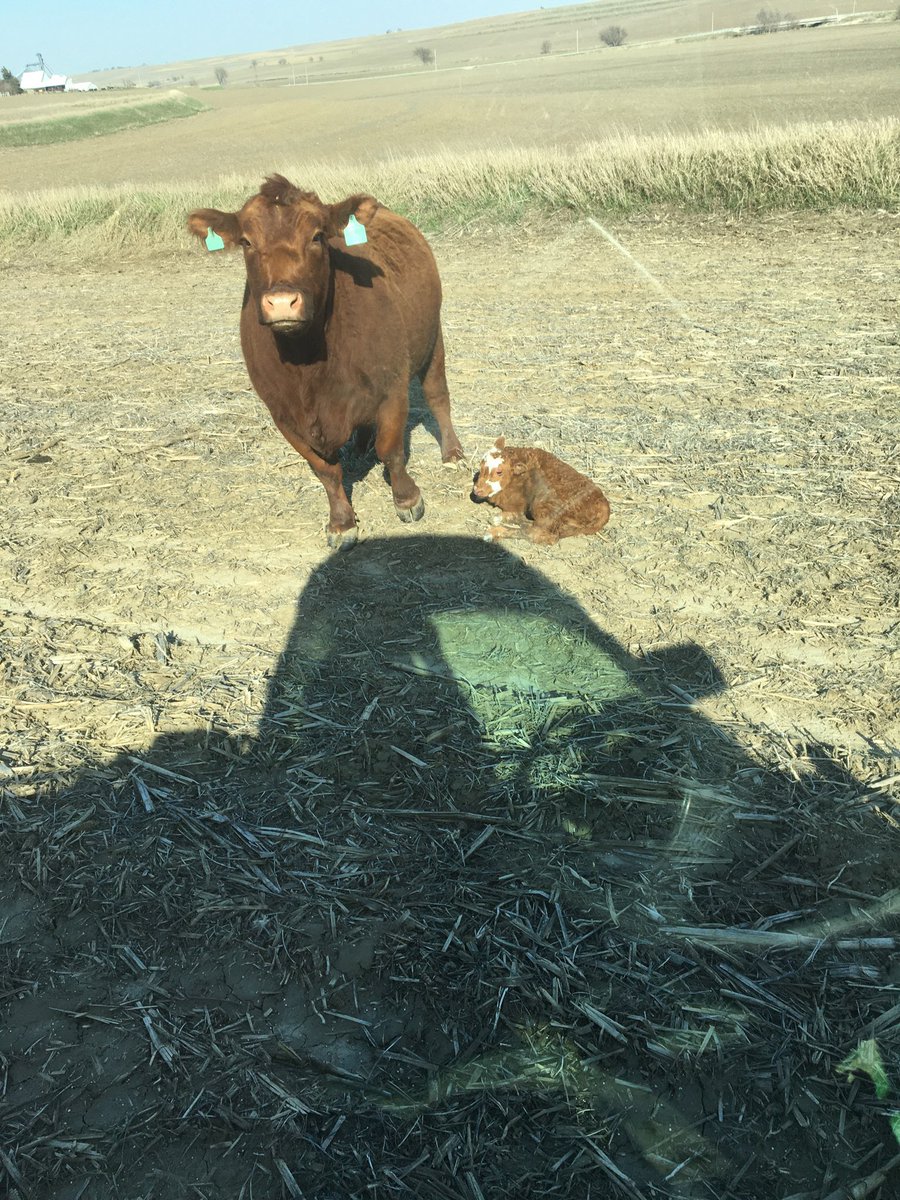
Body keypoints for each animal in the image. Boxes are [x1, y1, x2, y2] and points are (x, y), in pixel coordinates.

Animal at [188, 175, 464, 549]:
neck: (307, 364)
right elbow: (325, 470)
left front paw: (407, 499)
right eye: (246, 241)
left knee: (438, 397)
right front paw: (342, 523)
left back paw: (453, 453)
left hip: (433, 339)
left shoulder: (391, 389)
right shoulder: (284, 415)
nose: (282, 302)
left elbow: (391, 449)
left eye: (317, 236)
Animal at [471, 437, 611, 545]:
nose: (478, 490)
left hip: (545, 505)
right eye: (481, 466)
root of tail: (604, 508)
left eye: (499, 472)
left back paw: (493, 532)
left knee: (538, 533)